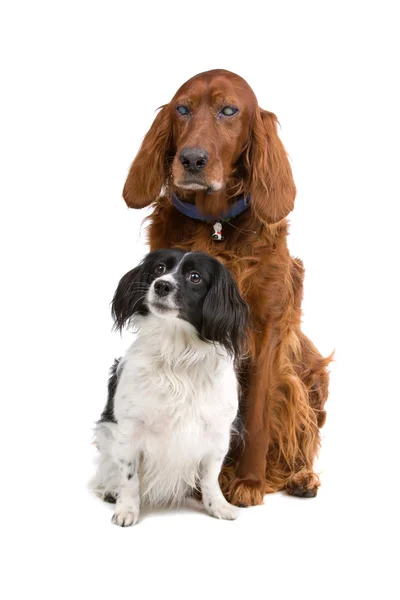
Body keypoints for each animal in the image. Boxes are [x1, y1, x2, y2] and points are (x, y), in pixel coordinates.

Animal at [91, 248, 248, 524]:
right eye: (159, 269)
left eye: (195, 277)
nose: (161, 285)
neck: (177, 355)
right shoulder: (130, 429)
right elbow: (129, 476)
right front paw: (127, 509)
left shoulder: (217, 433)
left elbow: (211, 477)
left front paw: (217, 506)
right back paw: (110, 490)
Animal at [122, 68, 332, 504]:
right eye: (182, 109)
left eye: (229, 110)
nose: (192, 159)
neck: (215, 227)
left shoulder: (266, 328)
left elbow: (255, 413)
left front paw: (249, 482)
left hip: (308, 379)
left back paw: (299, 476)